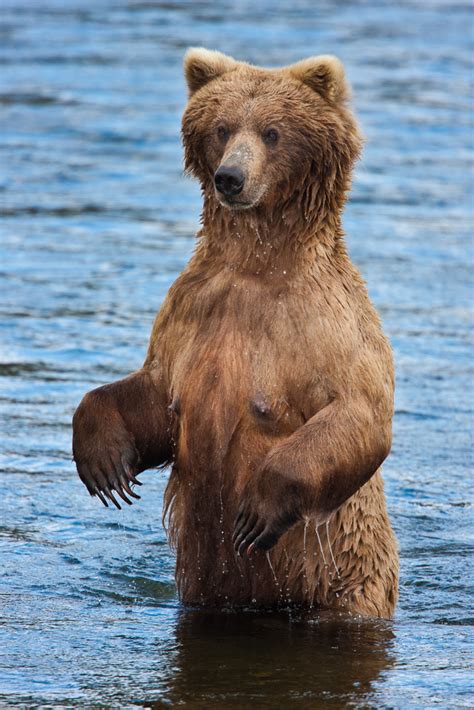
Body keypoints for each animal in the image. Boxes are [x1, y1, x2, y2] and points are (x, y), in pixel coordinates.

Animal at [73, 47, 400, 620]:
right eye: (222, 128)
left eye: (272, 132)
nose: (230, 177)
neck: (257, 263)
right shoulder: (194, 309)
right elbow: (157, 393)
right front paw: (105, 464)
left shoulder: (327, 324)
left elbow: (358, 412)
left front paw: (255, 512)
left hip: (347, 580)